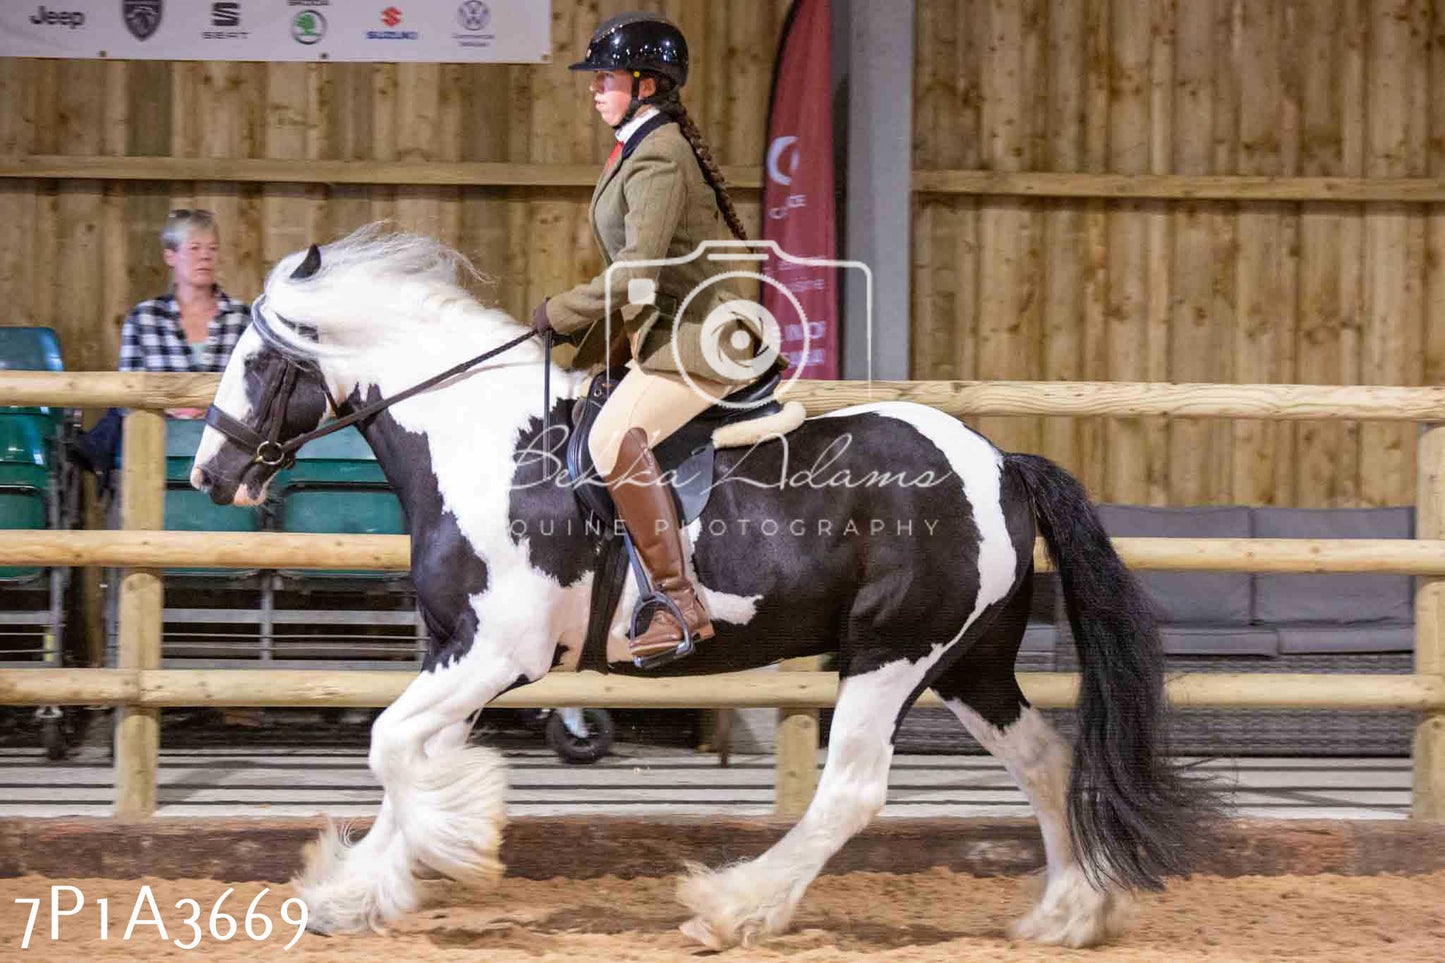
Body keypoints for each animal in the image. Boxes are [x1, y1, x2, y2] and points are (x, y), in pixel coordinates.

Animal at [189, 228, 1208, 948]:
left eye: (256, 359)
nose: (209, 473)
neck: (481, 443)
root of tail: (1000, 462)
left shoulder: (495, 652)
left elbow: (393, 747)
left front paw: (453, 842)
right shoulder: (457, 652)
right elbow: (407, 755)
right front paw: (357, 889)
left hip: (891, 652)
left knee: (851, 793)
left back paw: (732, 906)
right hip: (968, 663)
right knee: (1046, 761)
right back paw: (1068, 914)